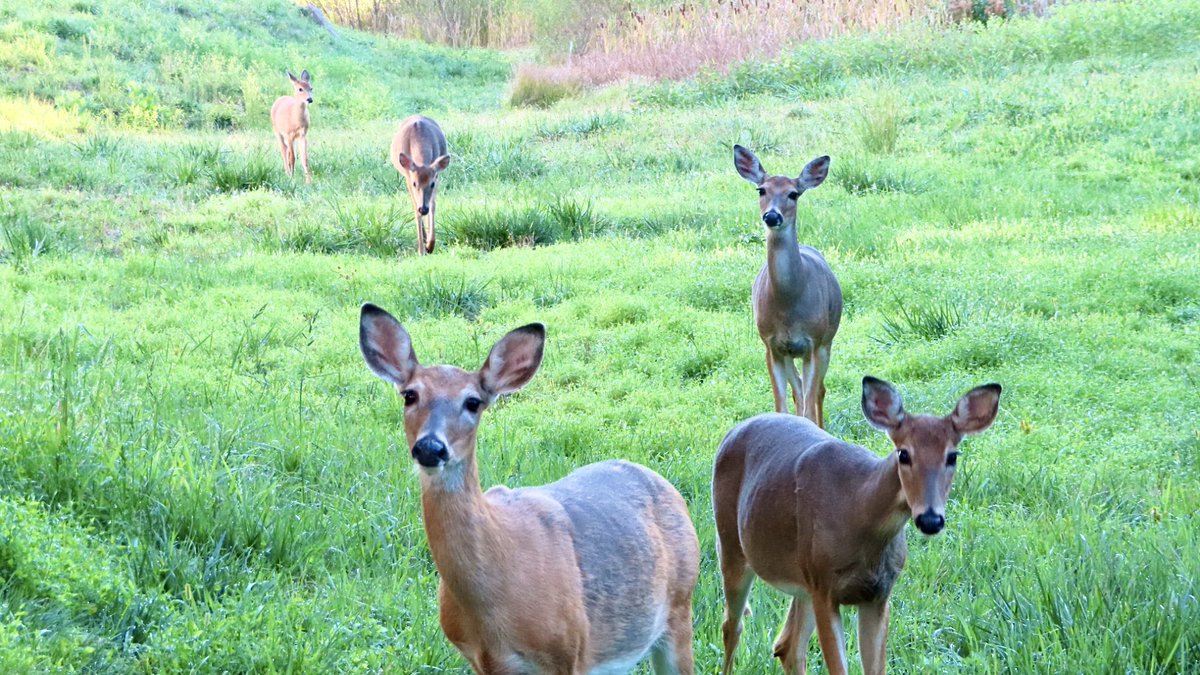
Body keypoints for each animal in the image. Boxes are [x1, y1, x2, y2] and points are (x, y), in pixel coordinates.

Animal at [358, 303, 700, 674]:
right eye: (410, 395)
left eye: (473, 402)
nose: (431, 448)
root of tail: (666, 486)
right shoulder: (480, 659)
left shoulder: (569, 649)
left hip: (680, 606)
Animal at [390, 115, 450, 254]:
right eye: (414, 183)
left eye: (431, 184)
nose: (423, 209)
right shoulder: (408, 176)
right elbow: (415, 210)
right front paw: (421, 251)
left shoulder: (437, 175)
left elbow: (433, 206)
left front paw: (430, 245)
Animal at [713, 376, 1002, 675]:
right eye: (904, 454)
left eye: (952, 456)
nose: (930, 519)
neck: (858, 512)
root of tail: (734, 430)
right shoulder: (825, 588)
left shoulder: (878, 595)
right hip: (731, 545)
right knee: (732, 627)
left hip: (802, 579)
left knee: (787, 645)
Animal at [733, 144, 842, 428]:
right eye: (761, 190)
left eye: (793, 194)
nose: (772, 216)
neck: (788, 304)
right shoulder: (771, 345)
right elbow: (782, 405)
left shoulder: (813, 342)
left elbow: (810, 405)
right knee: (799, 390)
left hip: (827, 341)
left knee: (819, 391)